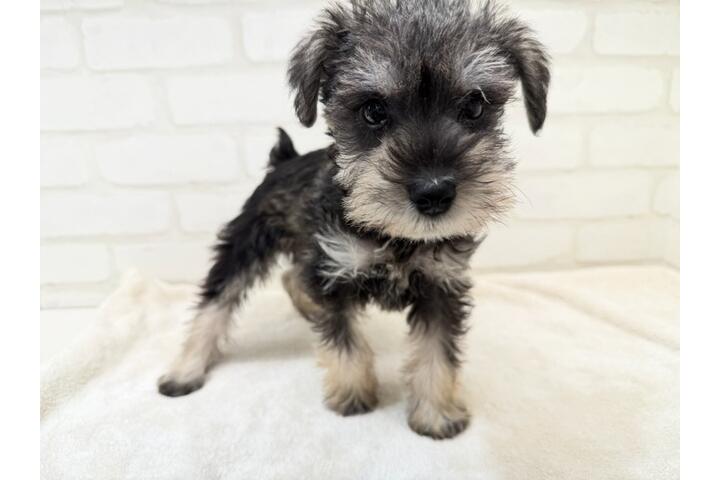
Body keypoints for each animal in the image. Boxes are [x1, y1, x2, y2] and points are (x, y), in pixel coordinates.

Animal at [158, 0, 550, 440]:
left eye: (474, 106)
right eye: (373, 110)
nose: (434, 193)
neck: (396, 236)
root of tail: (284, 160)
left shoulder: (441, 284)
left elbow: (437, 352)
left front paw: (436, 414)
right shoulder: (333, 270)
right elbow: (344, 340)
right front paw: (352, 393)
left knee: (291, 276)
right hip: (248, 241)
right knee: (217, 299)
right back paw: (185, 370)